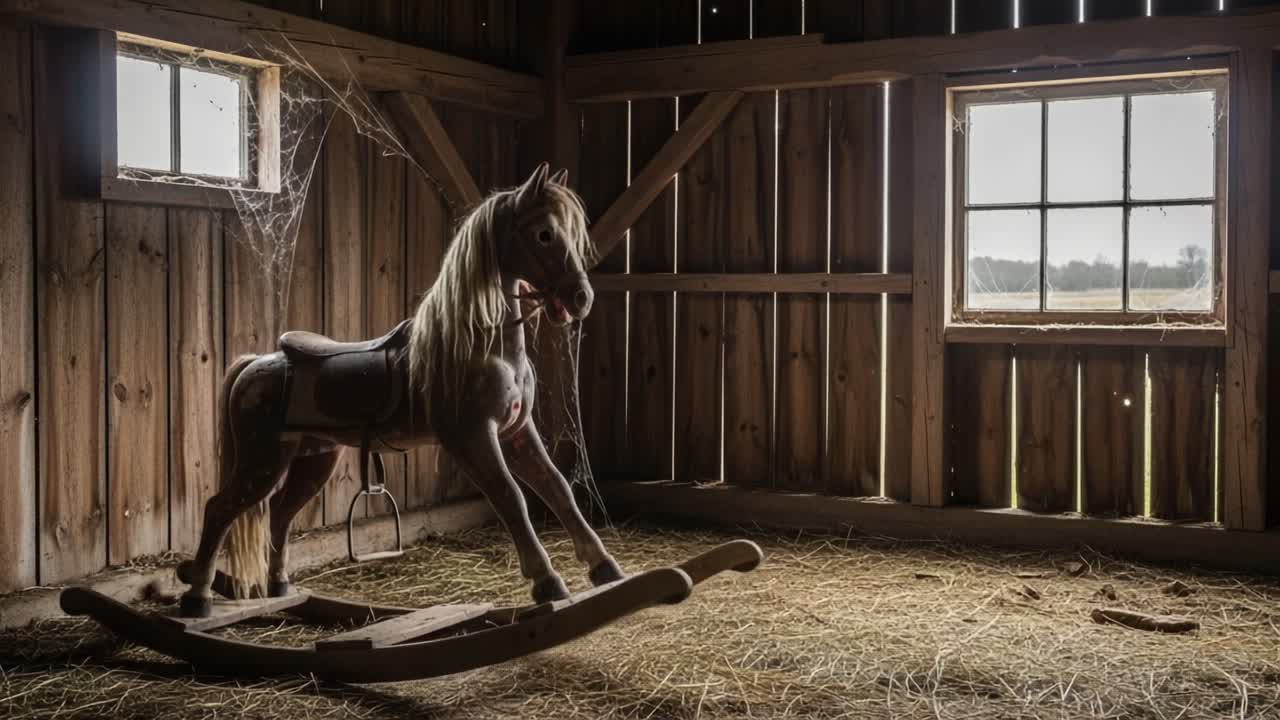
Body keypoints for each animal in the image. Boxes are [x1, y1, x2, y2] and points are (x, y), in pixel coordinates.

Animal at [179, 163, 623, 617]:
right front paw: (547, 581)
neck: (480, 346)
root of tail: (255, 365)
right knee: (220, 508)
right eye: (544, 234)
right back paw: (197, 597)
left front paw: (603, 566)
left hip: (313, 458)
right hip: (262, 460)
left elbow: (558, 489)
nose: (581, 298)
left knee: (281, 512)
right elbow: (511, 497)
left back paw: (280, 585)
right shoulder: (472, 438)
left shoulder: (516, 432)